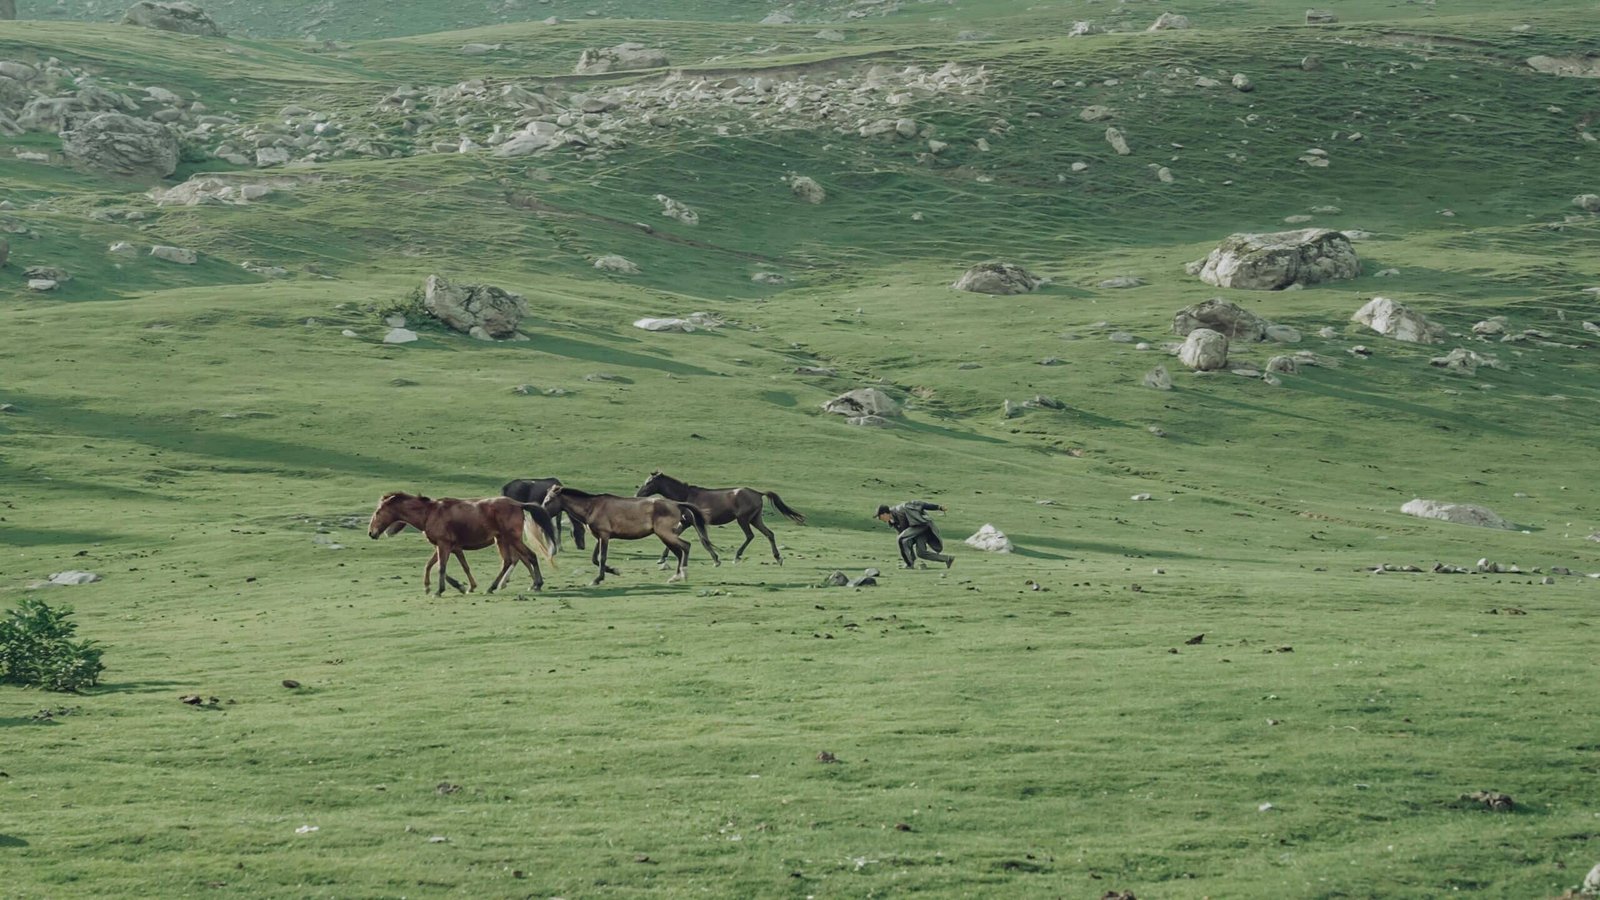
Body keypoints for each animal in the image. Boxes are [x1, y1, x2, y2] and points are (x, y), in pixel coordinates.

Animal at [368, 492, 557, 596]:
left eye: (378, 512)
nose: (371, 533)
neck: (429, 514)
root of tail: (518, 504)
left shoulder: (444, 545)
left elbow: (441, 568)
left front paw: (439, 590)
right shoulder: (448, 547)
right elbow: (434, 565)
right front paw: (459, 586)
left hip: (512, 539)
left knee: (529, 556)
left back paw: (537, 584)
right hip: (502, 540)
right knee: (510, 561)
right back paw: (493, 587)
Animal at [541, 485, 719, 585]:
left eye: (548, 500)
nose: (539, 512)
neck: (592, 507)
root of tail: (676, 504)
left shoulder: (605, 536)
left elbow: (602, 558)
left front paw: (598, 579)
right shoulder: (600, 537)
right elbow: (595, 559)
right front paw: (614, 571)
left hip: (665, 534)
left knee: (685, 547)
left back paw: (683, 574)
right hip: (666, 536)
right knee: (679, 552)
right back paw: (675, 577)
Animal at [635, 470, 805, 565]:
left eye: (649, 482)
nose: (637, 495)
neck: (686, 496)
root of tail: (758, 493)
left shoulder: (695, 522)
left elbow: (704, 540)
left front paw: (716, 560)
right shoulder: (685, 521)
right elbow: (674, 535)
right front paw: (661, 559)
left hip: (743, 519)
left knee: (750, 535)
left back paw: (737, 556)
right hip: (755, 519)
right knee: (769, 534)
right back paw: (778, 558)